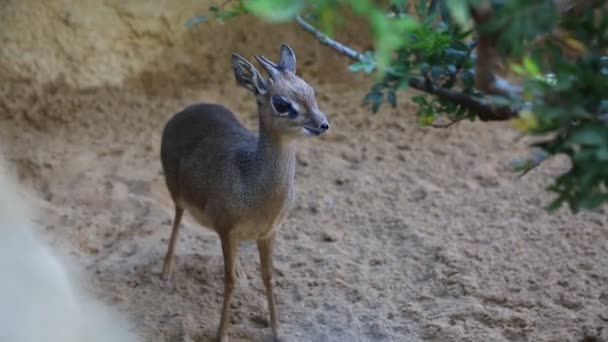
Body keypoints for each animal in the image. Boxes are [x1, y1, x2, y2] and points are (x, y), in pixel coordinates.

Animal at [157, 44, 328, 340]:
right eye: (282, 103)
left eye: (310, 90)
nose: (323, 124)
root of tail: (183, 113)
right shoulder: (227, 230)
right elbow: (228, 282)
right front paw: (221, 334)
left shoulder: (268, 233)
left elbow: (268, 277)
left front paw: (277, 330)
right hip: (176, 191)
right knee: (177, 218)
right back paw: (167, 271)